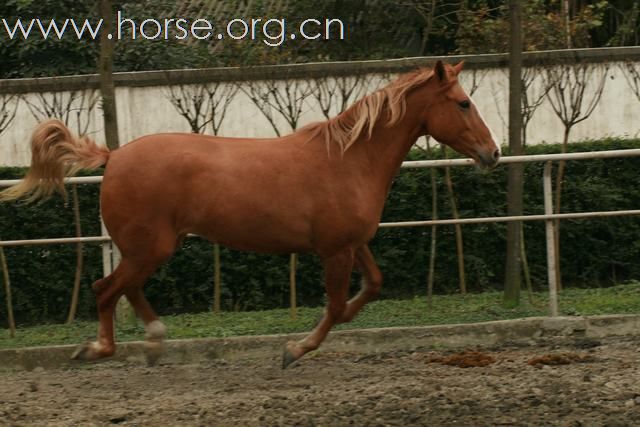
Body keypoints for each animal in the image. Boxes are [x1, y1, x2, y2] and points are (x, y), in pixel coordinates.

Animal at [0, 60, 500, 368]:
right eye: (463, 103)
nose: (492, 153)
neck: (349, 158)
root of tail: (114, 155)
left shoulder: (352, 244)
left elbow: (371, 287)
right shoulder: (335, 251)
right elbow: (337, 306)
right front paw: (295, 350)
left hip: (154, 247)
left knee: (126, 288)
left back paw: (155, 340)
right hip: (149, 247)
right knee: (106, 289)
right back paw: (99, 349)